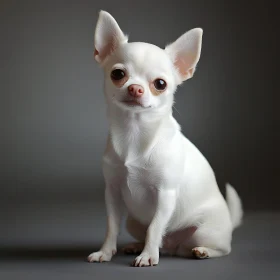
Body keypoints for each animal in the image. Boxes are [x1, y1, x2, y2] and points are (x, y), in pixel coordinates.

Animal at [88, 10, 243, 266]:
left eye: (160, 84)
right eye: (118, 74)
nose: (135, 88)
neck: (135, 132)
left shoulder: (165, 195)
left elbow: (155, 227)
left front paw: (148, 256)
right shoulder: (112, 192)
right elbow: (111, 226)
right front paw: (106, 251)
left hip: (205, 231)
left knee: (223, 248)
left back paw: (202, 251)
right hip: (133, 221)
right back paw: (136, 246)